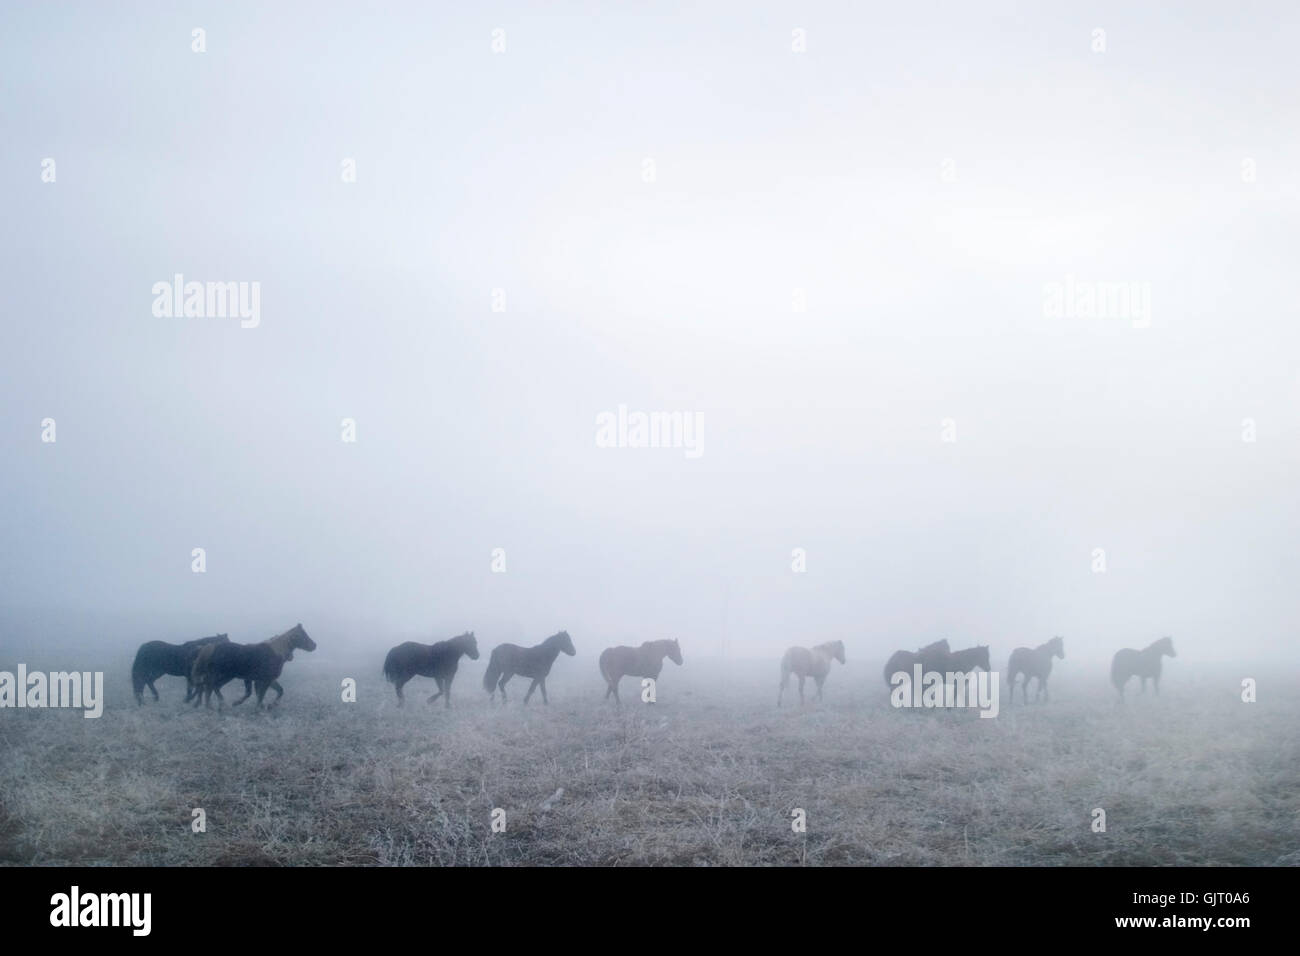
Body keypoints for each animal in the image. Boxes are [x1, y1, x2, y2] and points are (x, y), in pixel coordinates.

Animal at [189, 621, 317, 712]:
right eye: (303, 635)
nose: (314, 645)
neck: (275, 652)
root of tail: (212, 647)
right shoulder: (265, 680)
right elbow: (260, 695)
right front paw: (259, 709)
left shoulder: (265, 679)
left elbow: (278, 691)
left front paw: (270, 705)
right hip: (223, 675)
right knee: (212, 686)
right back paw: (219, 705)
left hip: (224, 676)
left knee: (211, 687)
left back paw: (213, 706)